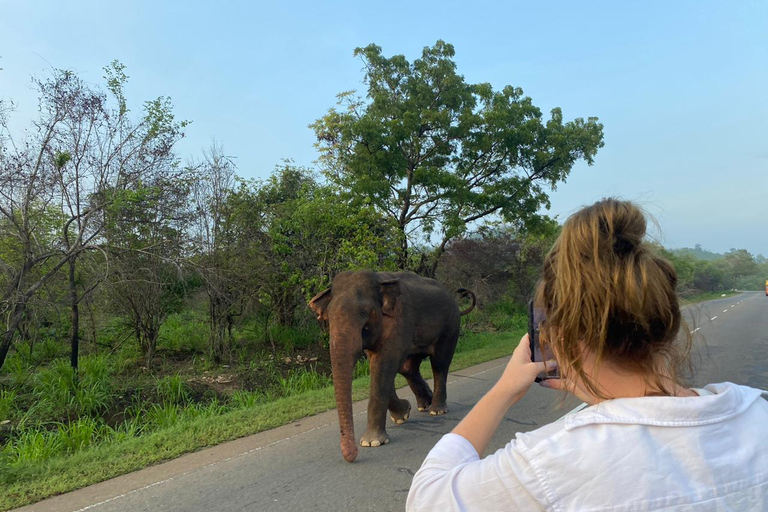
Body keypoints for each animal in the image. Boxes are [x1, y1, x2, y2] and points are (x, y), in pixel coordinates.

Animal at [308, 270, 474, 462]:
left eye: (363, 312)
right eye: (329, 316)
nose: (352, 455)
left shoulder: (400, 320)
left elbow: (383, 365)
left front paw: (371, 442)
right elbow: (379, 366)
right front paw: (403, 414)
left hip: (450, 326)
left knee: (439, 363)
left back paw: (436, 411)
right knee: (408, 368)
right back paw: (424, 404)